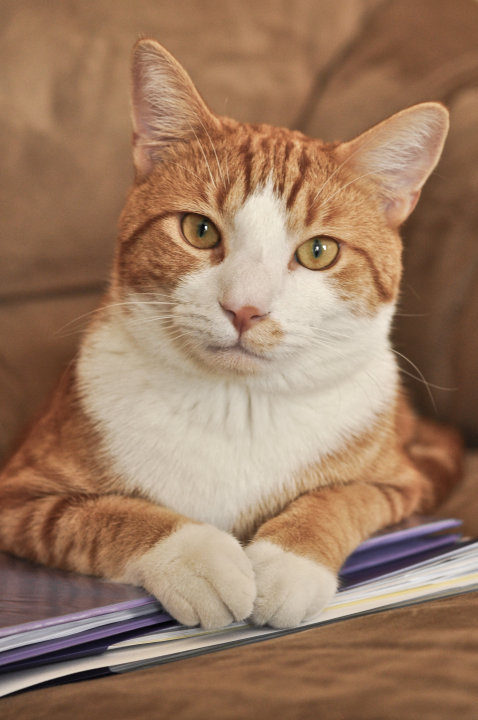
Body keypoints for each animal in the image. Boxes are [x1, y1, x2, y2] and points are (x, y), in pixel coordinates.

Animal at [0, 39, 464, 632]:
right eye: (199, 230)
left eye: (319, 251)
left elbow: (340, 500)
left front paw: (290, 560)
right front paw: (195, 557)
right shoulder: (21, 496)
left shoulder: (400, 483)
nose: (245, 309)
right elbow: (109, 515)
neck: (236, 405)